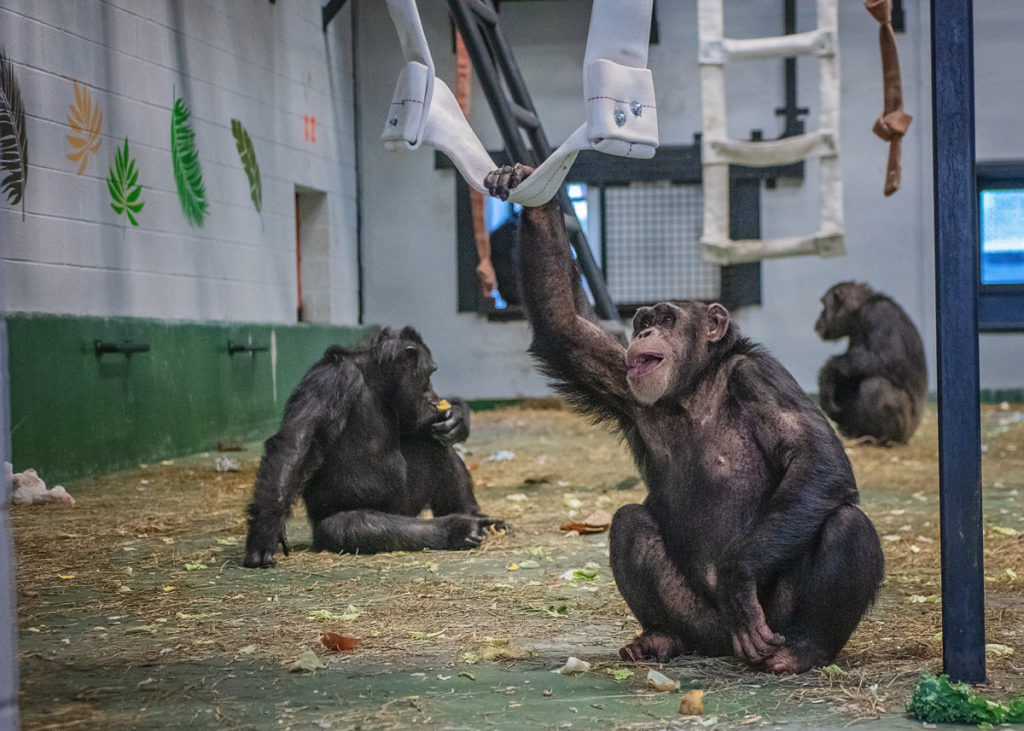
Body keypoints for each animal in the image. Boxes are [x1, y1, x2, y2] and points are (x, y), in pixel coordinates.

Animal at [244, 325, 507, 569]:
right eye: (428, 375)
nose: (433, 395)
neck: (376, 378)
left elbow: (415, 427)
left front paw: (457, 417)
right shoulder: (331, 379)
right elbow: (296, 443)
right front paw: (265, 531)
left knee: (433, 445)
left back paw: (477, 519)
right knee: (355, 526)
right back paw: (458, 528)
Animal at [483, 160, 884, 671]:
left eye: (668, 318)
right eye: (641, 321)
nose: (644, 330)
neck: (694, 386)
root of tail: (723, 646)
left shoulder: (761, 377)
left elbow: (818, 459)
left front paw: (738, 575)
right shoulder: (621, 381)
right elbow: (564, 326)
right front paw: (525, 186)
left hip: (768, 623)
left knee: (845, 524)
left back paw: (803, 649)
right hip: (701, 620)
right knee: (629, 523)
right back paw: (661, 638)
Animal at [815, 280, 929, 444]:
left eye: (824, 306)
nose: (819, 319)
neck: (858, 311)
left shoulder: (880, 314)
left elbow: (886, 357)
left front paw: (827, 372)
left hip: (904, 429)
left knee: (876, 387)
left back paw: (878, 439)